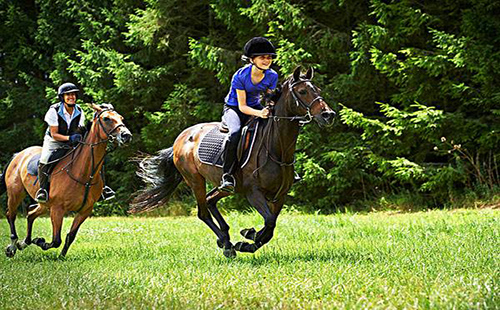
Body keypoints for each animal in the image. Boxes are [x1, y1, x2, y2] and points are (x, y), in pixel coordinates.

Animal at [0, 103, 132, 256]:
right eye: (106, 119)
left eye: (121, 118)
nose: (127, 136)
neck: (83, 173)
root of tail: (19, 154)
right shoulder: (57, 209)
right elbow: (56, 240)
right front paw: (40, 241)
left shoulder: (85, 211)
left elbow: (70, 236)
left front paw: (61, 256)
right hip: (16, 194)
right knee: (11, 215)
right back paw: (12, 246)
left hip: (44, 205)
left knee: (31, 214)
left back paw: (23, 243)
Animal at [132, 67, 336, 256]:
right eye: (302, 91)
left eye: (317, 89)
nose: (329, 115)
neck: (276, 149)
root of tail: (180, 139)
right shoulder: (254, 193)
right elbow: (269, 223)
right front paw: (247, 238)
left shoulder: (280, 195)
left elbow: (270, 227)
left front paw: (248, 238)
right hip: (195, 180)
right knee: (203, 211)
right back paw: (226, 244)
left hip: (226, 186)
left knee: (211, 200)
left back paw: (226, 238)